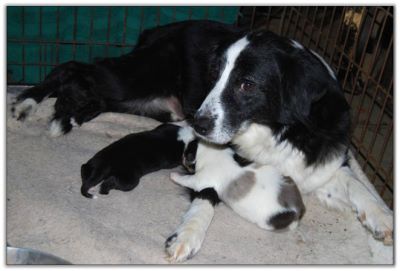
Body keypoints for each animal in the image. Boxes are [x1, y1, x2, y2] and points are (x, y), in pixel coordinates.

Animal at [170, 127, 304, 232]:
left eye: (186, 152)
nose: (182, 157)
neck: (211, 152)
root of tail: (298, 209)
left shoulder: (201, 179)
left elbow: (188, 179)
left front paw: (174, 175)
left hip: (267, 222)